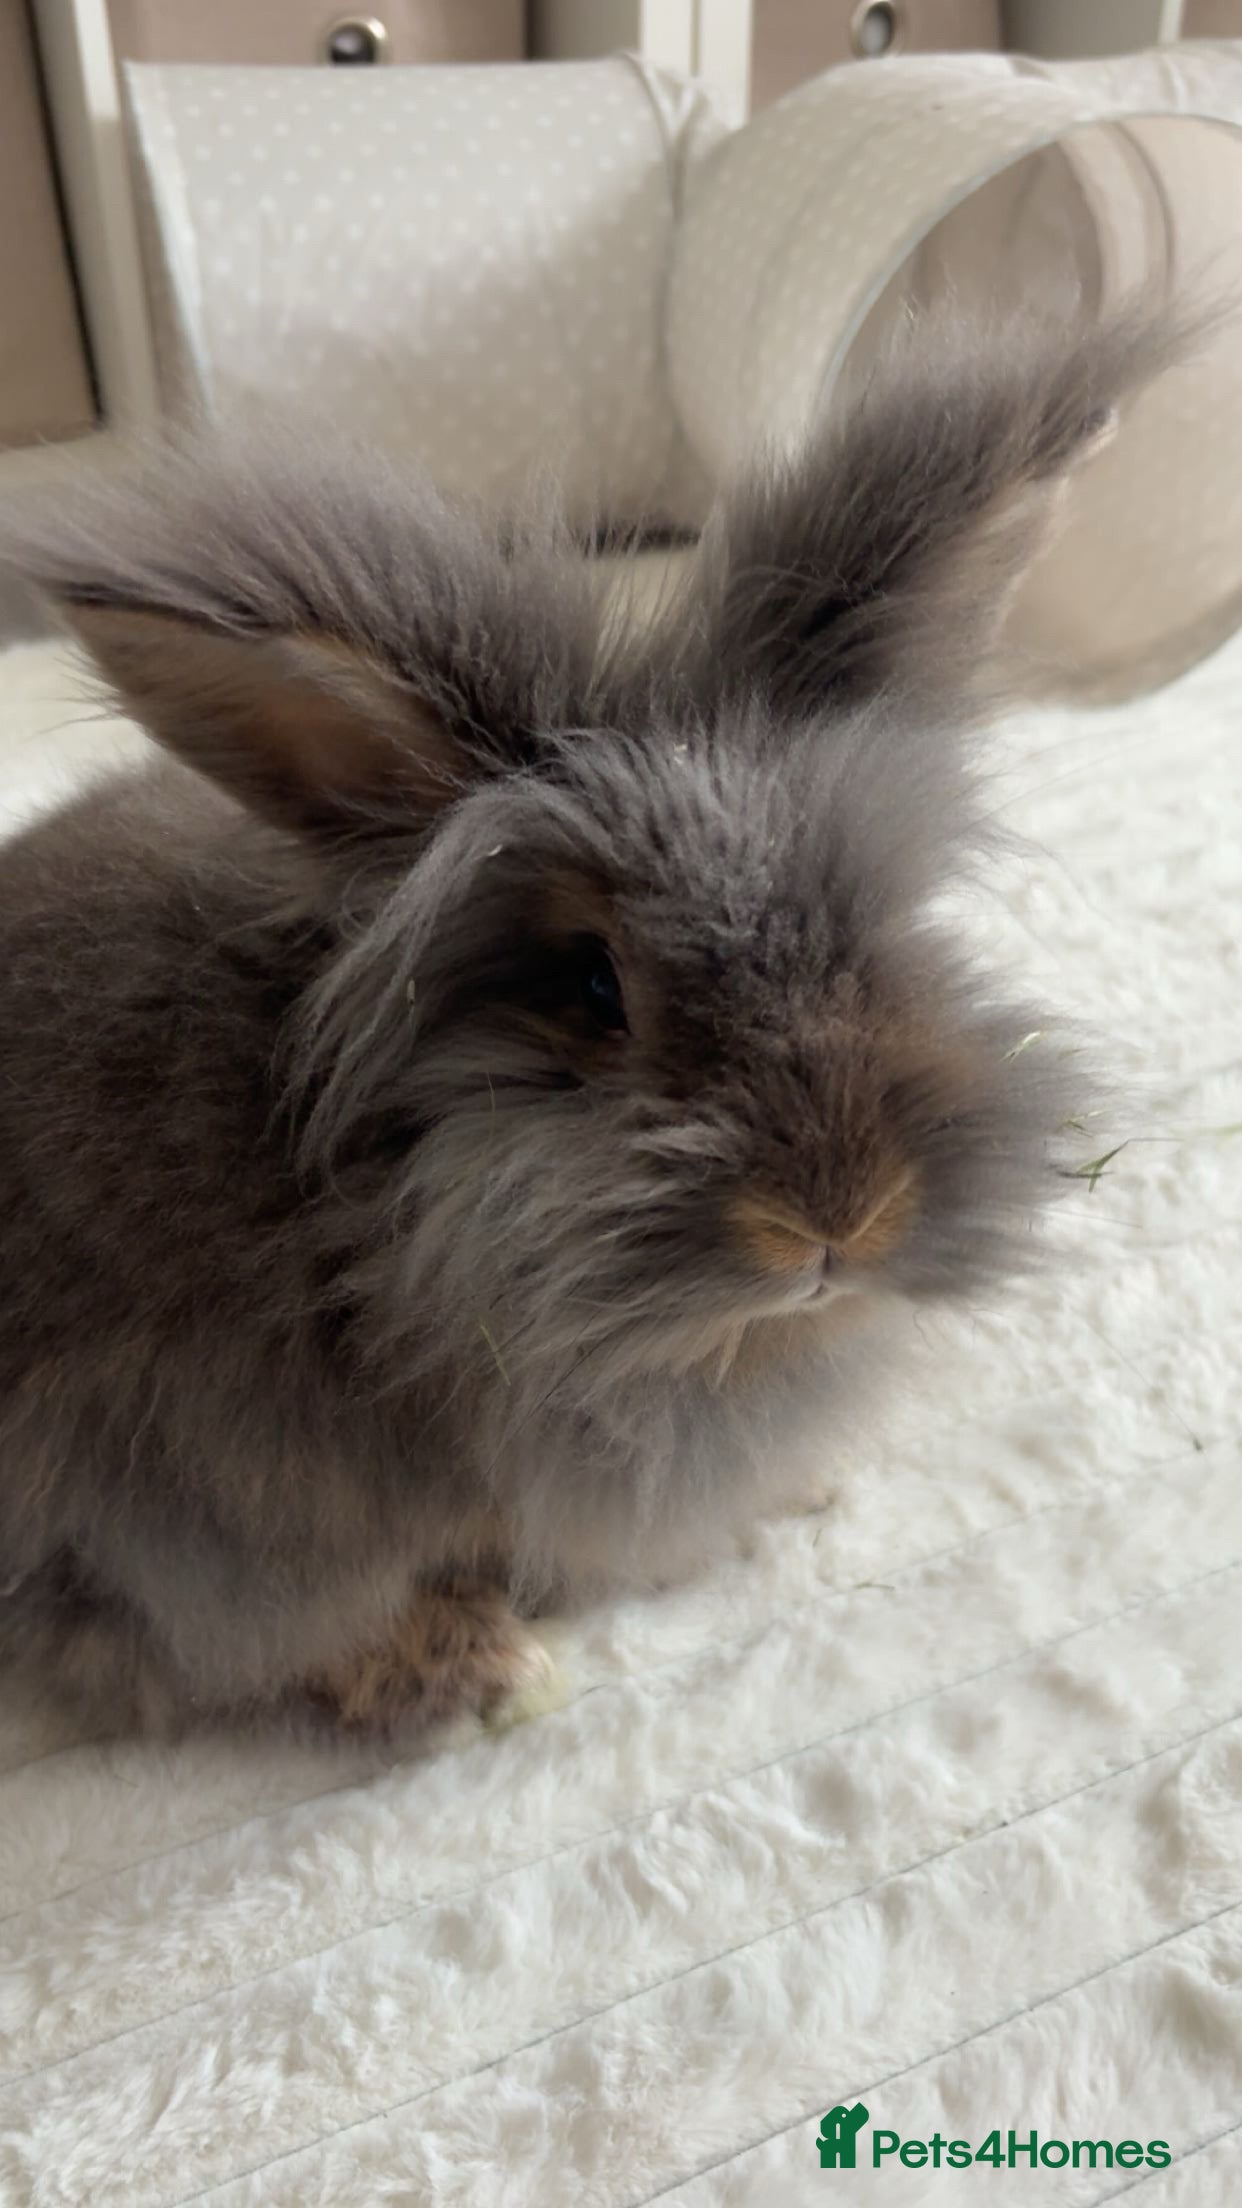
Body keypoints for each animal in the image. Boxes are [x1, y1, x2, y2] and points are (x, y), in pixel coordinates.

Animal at [0, 307, 1185, 1741]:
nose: (838, 1221)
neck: (381, 1222)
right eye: (592, 987)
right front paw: (487, 1668)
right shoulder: (195, 1504)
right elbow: (267, 1635)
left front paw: (796, 1489)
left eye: (883, 930)